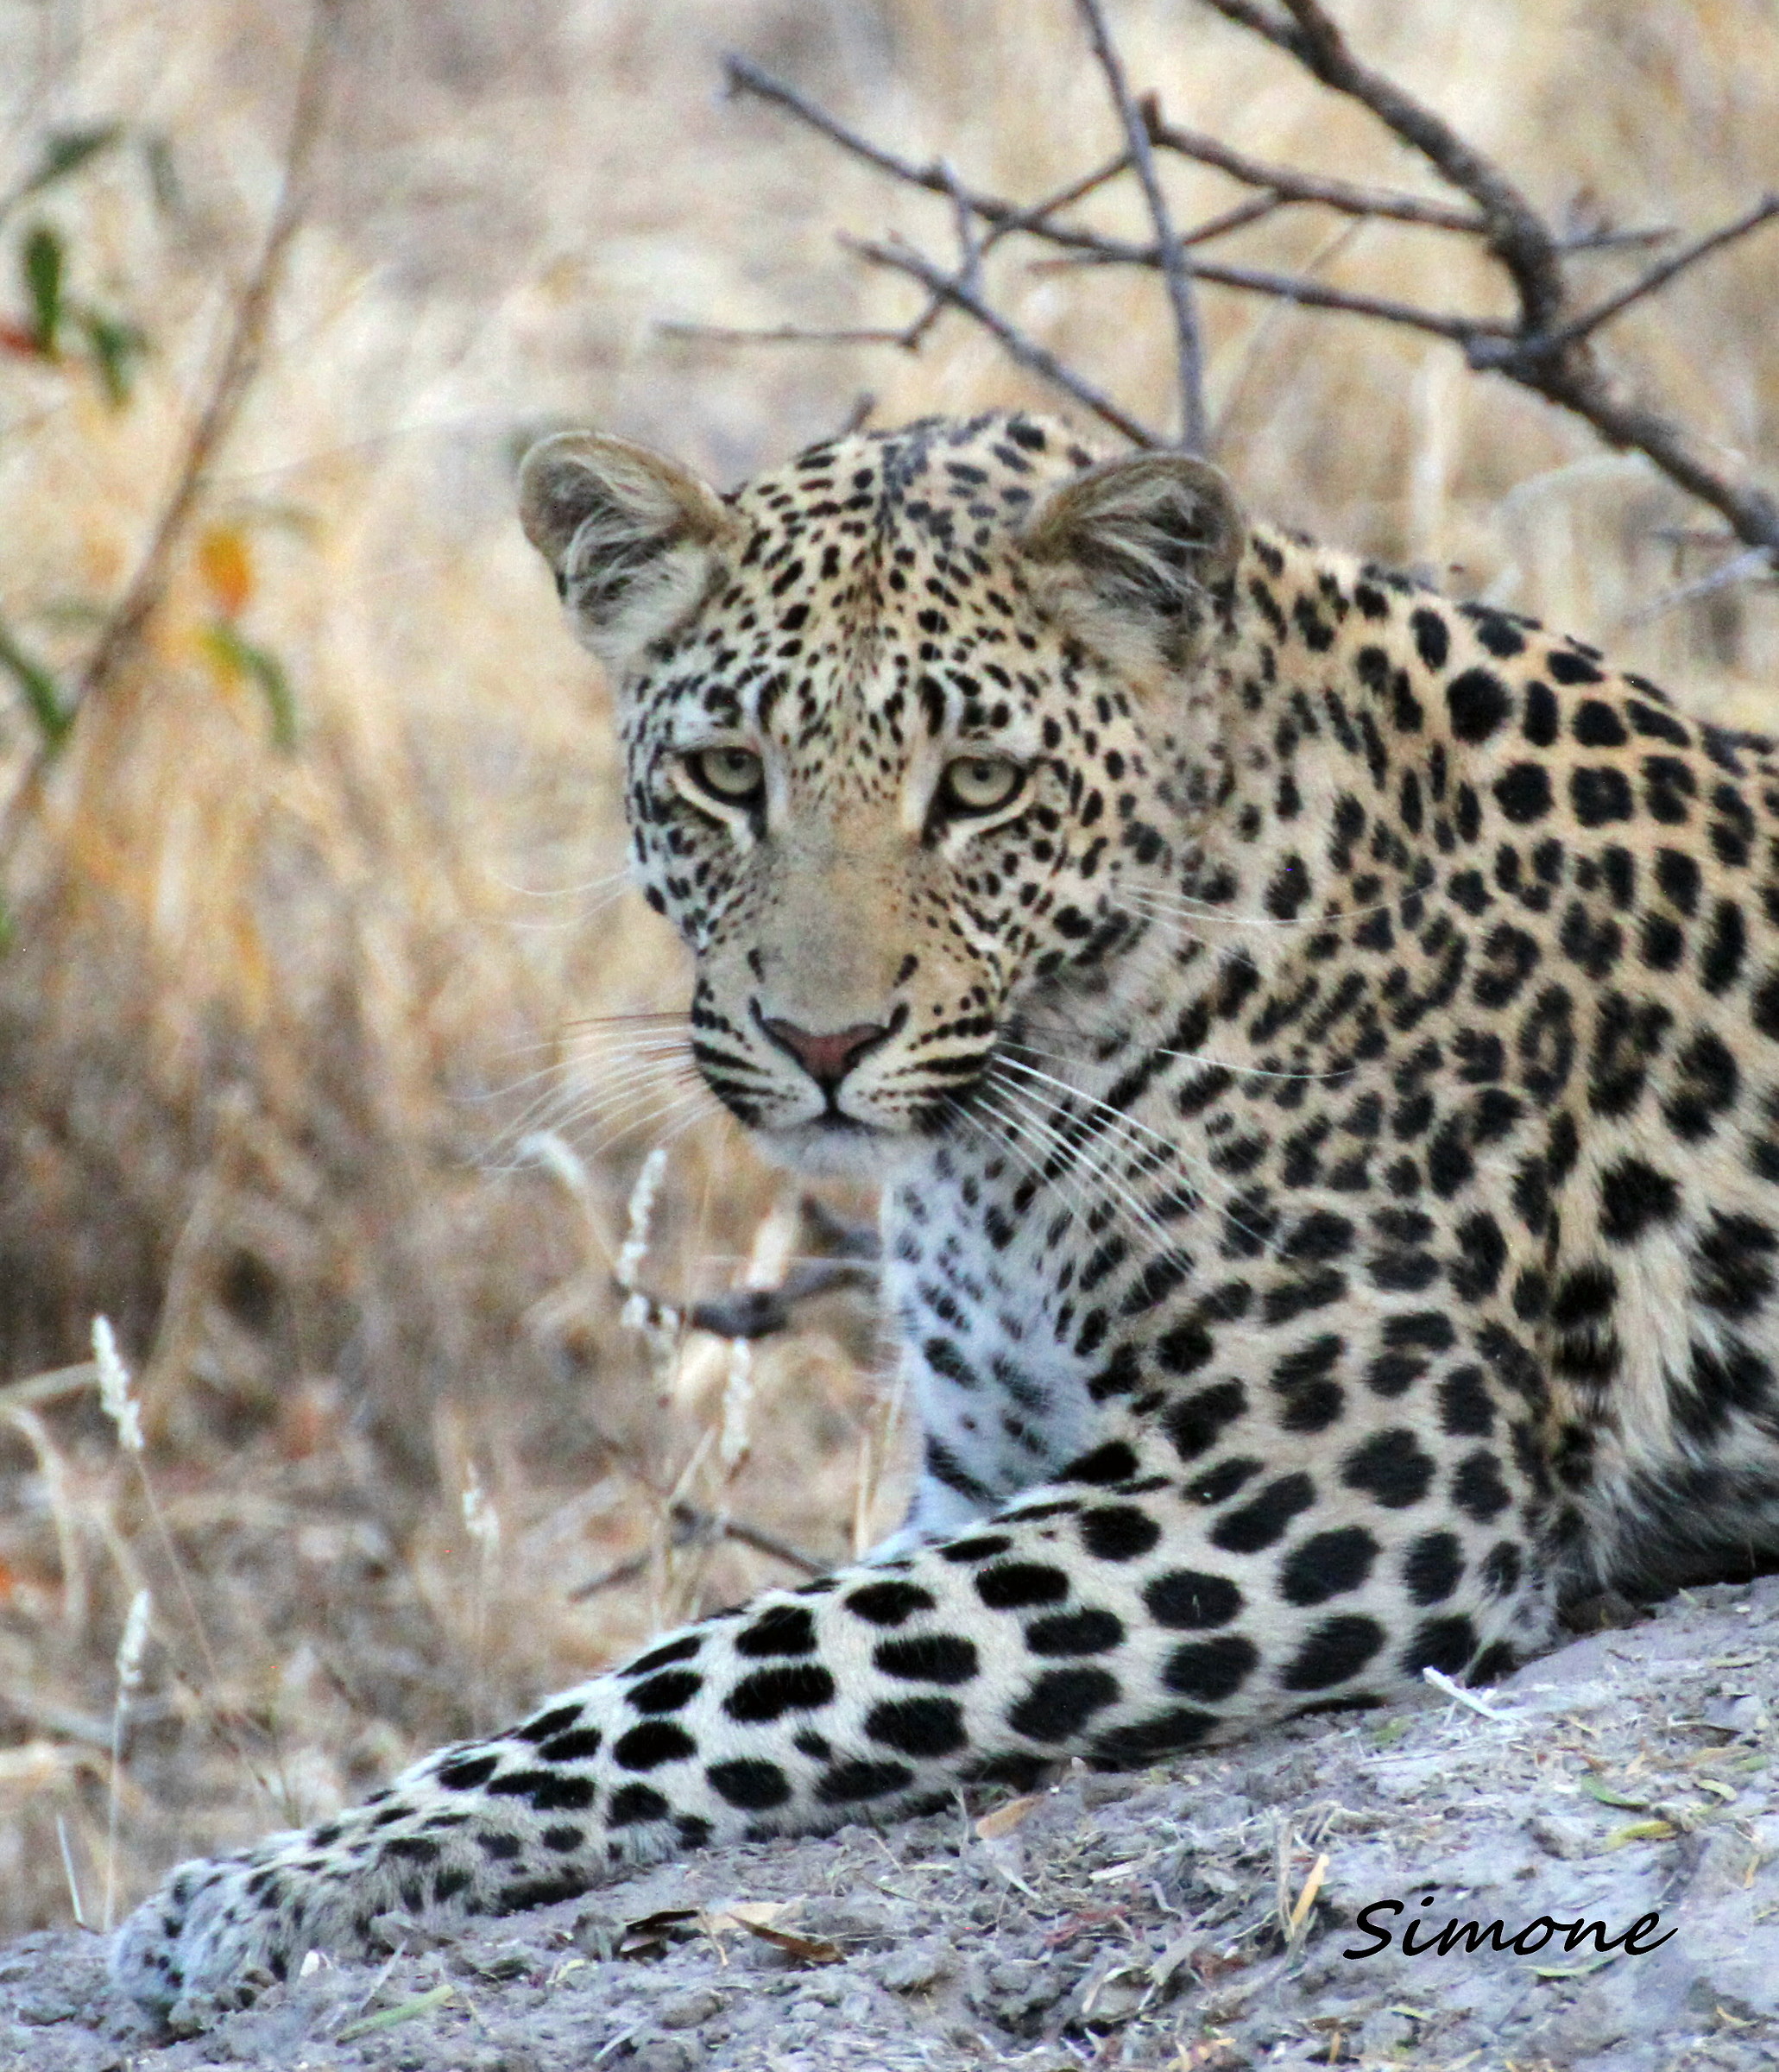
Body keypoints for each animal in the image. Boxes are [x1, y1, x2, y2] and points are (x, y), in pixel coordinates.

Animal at [114, 407, 1779, 2017]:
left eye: (979, 787)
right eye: (728, 775)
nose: (822, 1042)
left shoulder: (1330, 1479)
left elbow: (735, 1662)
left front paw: (272, 1881)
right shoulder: (991, 1467)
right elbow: (753, 1646)